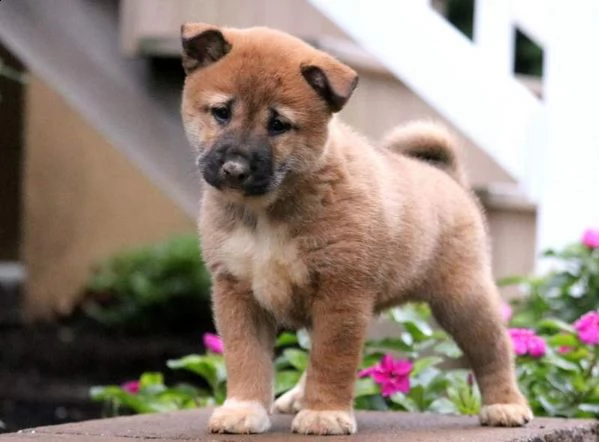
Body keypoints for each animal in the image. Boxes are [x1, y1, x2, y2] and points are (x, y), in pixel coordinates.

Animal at [180, 23, 532, 436]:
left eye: (278, 124)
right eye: (221, 112)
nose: (234, 169)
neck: (268, 212)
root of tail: (449, 178)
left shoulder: (341, 293)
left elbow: (332, 361)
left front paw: (324, 413)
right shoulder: (237, 291)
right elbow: (246, 357)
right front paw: (243, 408)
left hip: (464, 300)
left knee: (495, 350)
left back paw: (506, 405)